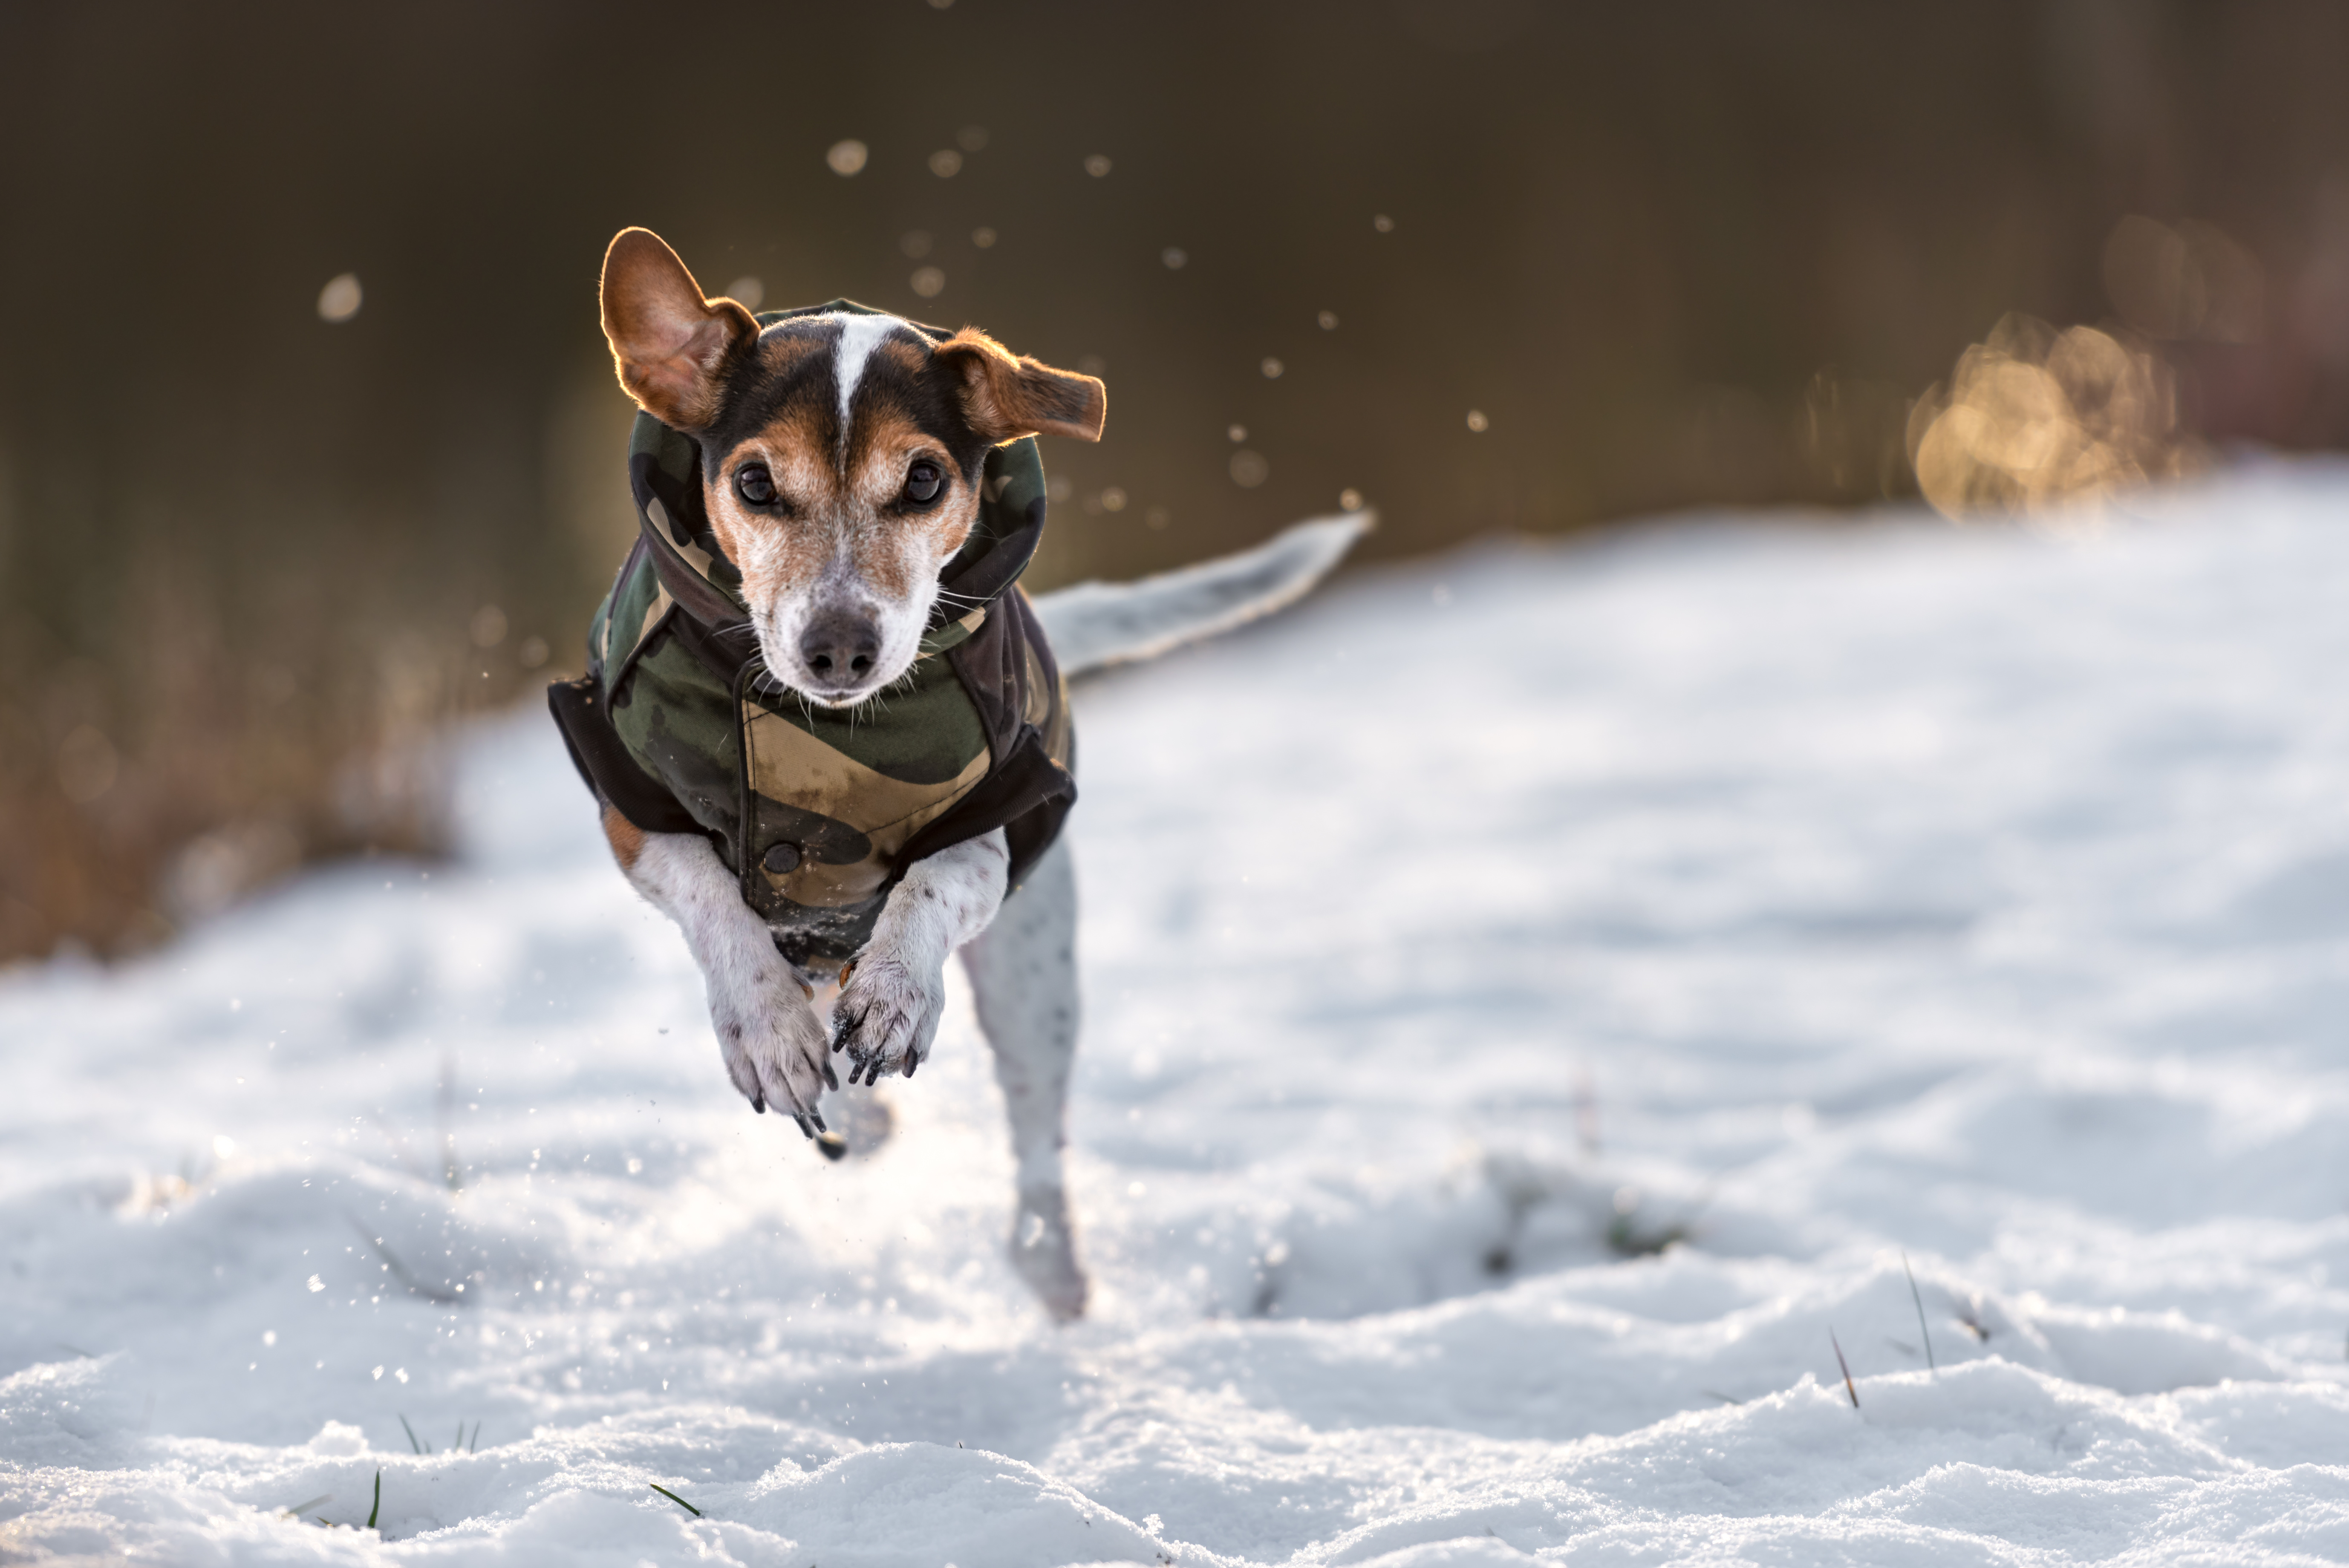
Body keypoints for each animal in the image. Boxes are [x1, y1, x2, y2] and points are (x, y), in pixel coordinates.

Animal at [559, 226, 1362, 1314]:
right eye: (757, 485)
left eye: (924, 482)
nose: (839, 649)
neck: (826, 737)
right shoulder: (632, 808)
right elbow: (712, 899)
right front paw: (766, 1028)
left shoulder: (1004, 811)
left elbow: (938, 880)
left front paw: (898, 990)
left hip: (1033, 974)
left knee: (1034, 1141)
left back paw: (1051, 1266)